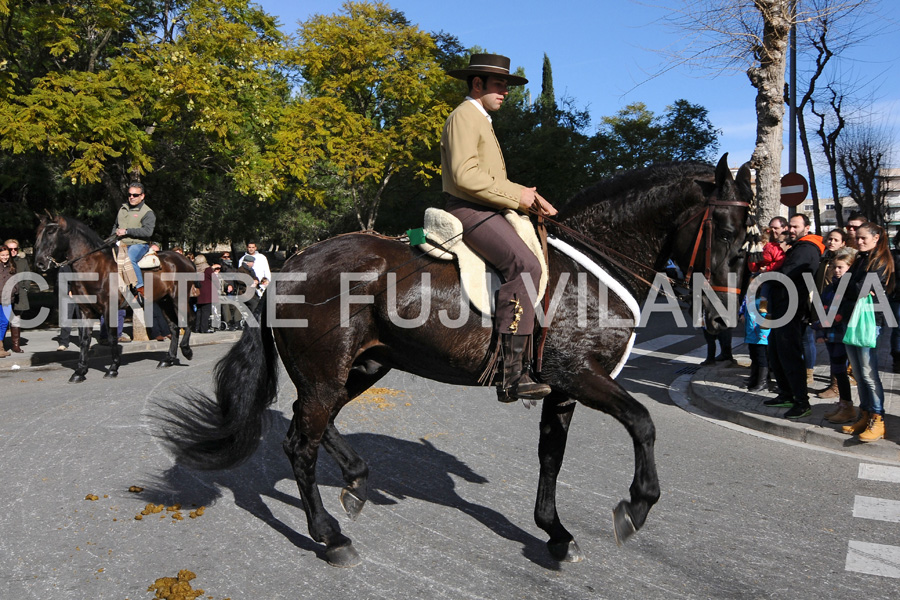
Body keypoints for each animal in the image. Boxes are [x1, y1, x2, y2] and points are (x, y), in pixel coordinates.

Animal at [33, 216, 197, 382]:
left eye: (51, 232)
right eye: (38, 233)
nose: (39, 262)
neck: (93, 266)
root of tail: (186, 260)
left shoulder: (108, 308)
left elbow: (112, 338)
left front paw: (113, 368)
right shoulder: (85, 310)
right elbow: (84, 339)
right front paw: (80, 371)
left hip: (179, 298)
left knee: (190, 319)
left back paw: (186, 350)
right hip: (164, 302)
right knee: (174, 327)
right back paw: (168, 359)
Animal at [160, 155, 752, 568]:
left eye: (748, 237)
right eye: (725, 231)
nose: (724, 314)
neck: (594, 266)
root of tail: (292, 263)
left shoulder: (561, 390)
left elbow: (552, 457)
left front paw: (555, 534)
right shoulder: (581, 378)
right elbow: (644, 422)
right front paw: (636, 505)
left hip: (364, 368)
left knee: (315, 424)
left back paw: (355, 480)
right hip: (327, 374)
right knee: (300, 445)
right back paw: (330, 537)